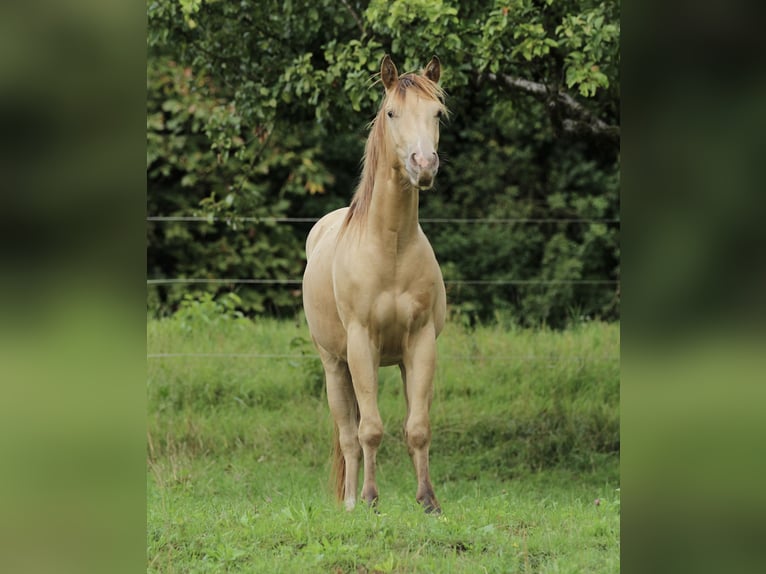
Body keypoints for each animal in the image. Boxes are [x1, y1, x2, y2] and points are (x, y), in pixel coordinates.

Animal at [302, 55, 447, 514]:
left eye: (437, 114)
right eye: (391, 113)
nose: (424, 164)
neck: (391, 249)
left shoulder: (421, 342)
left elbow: (417, 427)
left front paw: (428, 501)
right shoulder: (361, 343)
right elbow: (369, 429)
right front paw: (369, 498)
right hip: (335, 364)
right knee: (349, 436)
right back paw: (349, 502)